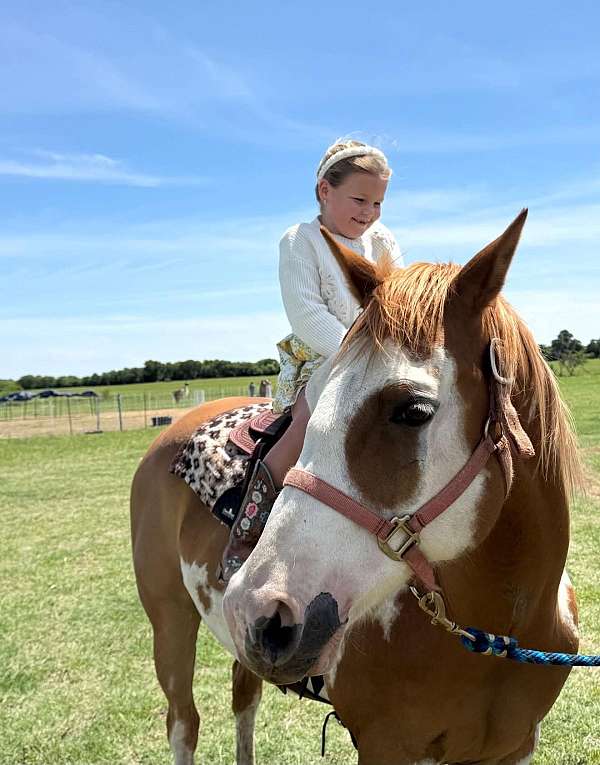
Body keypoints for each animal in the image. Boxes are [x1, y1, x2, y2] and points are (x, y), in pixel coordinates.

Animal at [131, 211, 582, 765]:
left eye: (413, 411)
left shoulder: (514, 748)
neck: (498, 635)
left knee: (244, 700)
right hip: (170, 622)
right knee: (183, 722)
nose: (258, 607)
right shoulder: (385, 745)